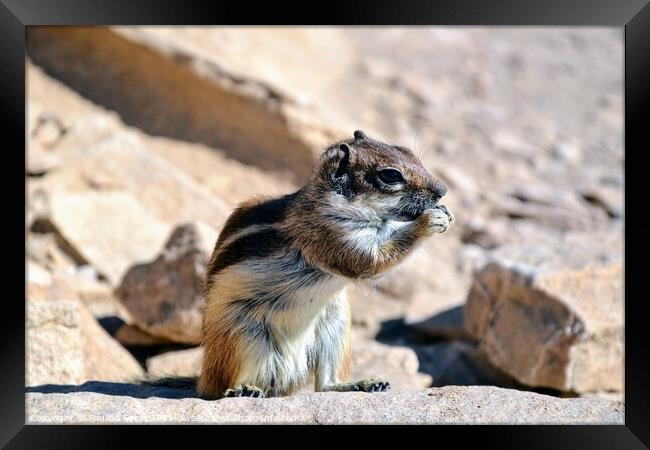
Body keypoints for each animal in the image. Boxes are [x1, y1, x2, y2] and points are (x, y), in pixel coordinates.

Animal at [196, 130, 450, 398]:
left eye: (408, 152)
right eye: (390, 175)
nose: (442, 190)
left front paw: (444, 213)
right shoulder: (332, 235)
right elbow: (372, 262)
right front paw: (430, 219)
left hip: (336, 326)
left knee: (325, 384)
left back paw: (362, 383)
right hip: (240, 336)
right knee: (223, 386)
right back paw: (243, 389)